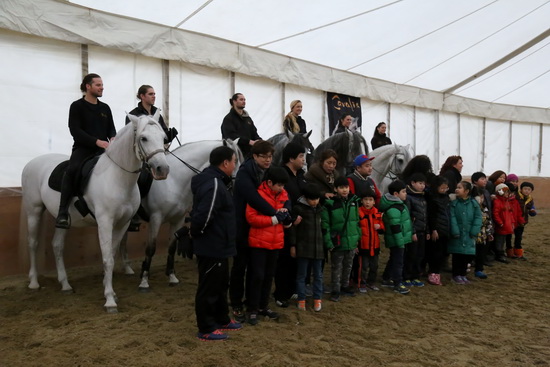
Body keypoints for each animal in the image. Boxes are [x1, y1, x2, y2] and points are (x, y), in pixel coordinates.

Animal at [21, 113, 169, 314]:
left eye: (163, 138)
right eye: (143, 138)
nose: (163, 169)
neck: (118, 178)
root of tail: (31, 163)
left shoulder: (122, 224)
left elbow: (112, 255)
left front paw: (111, 292)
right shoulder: (105, 222)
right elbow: (107, 259)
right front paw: (110, 301)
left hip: (62, 220)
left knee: (57, 245)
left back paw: (65, 285)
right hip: (34, 211)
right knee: (33, 243)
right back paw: (34, 282)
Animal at [128, 139, 243, 292]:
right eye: (235, 161)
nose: (238, 183)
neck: (173, 181)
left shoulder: (178, 219)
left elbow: (172, 247)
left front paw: (172, 277)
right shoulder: (155, 218)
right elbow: (151, 248)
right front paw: (144, 280)